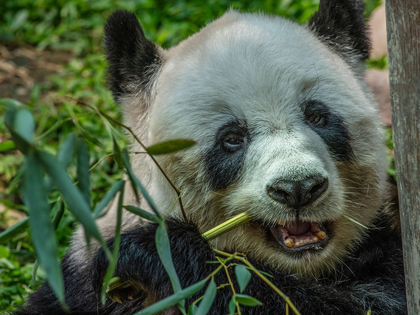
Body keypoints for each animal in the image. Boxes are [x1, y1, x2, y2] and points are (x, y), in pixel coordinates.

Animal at [15, 0, 406, 315]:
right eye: (231, 139)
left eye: (318, 117)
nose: (298, 188)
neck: (303, 268)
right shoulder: (79, 279)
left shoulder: (383, 247)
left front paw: (152, 252)